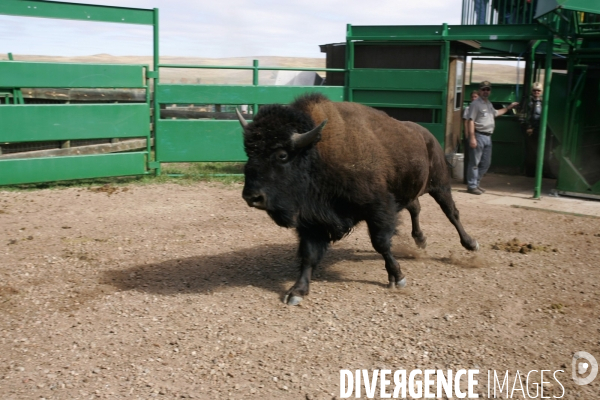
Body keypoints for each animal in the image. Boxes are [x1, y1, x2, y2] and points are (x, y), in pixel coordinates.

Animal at [237, 94, 480, 306]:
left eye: (282, 155)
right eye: (249, 151)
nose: (251, 197)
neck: (317, 153)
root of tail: (427, 136)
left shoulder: (378, 210)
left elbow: (381, 243)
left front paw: (398, 277)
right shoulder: (312, 221)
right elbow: (308, 255)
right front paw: (297, 292)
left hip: (440, 185)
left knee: (451, 212)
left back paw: (470, 244)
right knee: (415, 208)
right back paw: (420, 240)